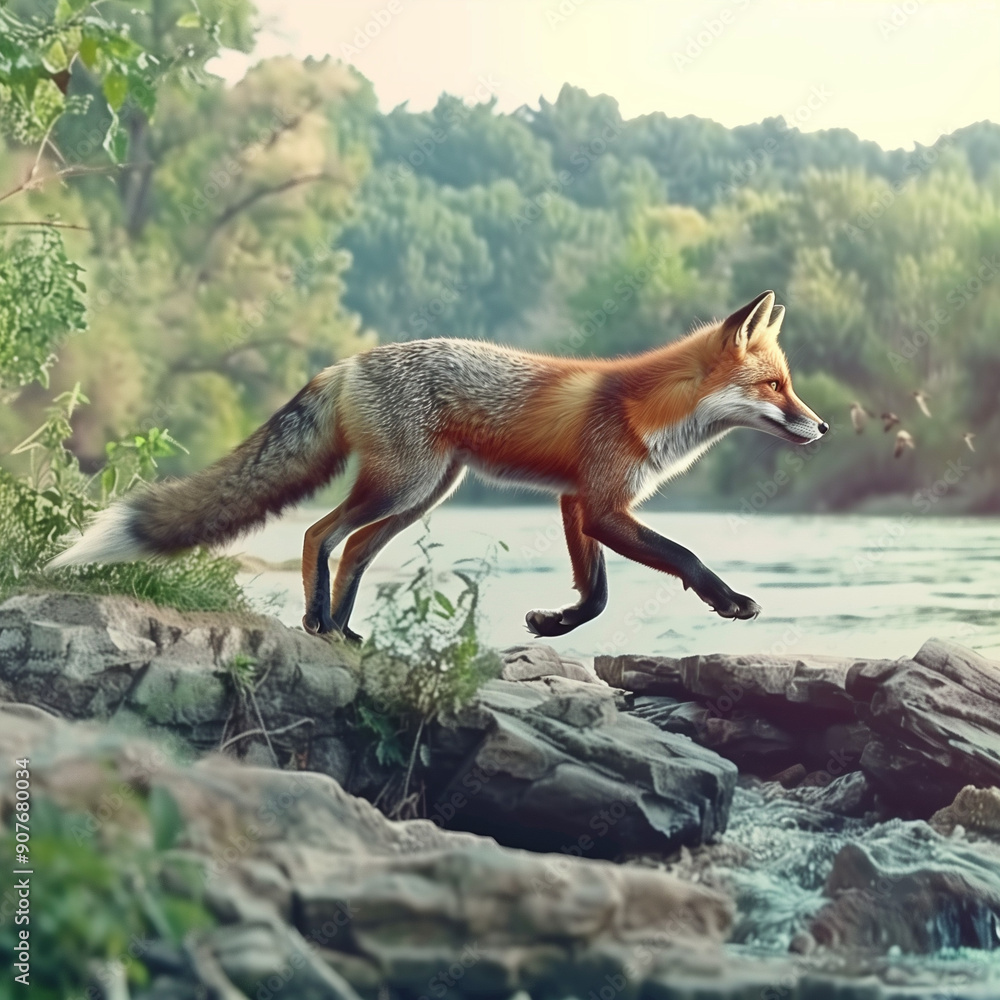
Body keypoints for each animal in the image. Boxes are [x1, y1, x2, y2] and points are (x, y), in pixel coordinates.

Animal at [50, 290, 827, 640]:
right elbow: (685, 556)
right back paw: (316, 620)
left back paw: (341, 629)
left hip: (425, 494)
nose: (821, 426)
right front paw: (731, 601)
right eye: (775, 386)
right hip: (405, 485)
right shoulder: (605, 504)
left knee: (353, 549)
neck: (649, 408)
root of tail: (346, 363)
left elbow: (598, 595)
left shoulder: (576, 502)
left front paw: (553, 623)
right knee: (318, 534)